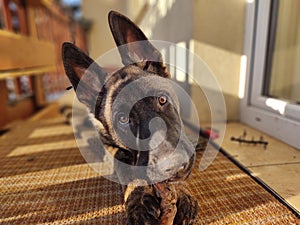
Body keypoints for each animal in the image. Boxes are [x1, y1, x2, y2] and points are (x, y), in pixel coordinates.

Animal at [62, 10, 198, 223]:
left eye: (161, 99)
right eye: (123, 120)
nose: (173, 164)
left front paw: (182, 191)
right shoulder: (114, 150)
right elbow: (127, 170)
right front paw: (139, 200)